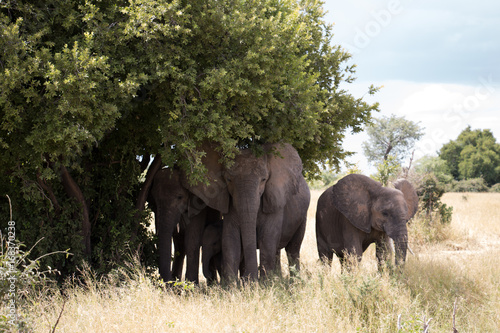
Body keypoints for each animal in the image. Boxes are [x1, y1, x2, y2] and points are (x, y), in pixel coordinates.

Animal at [188, 141, 310, 278]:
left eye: (264, 179)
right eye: (228, 179)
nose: (250, 278)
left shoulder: (275, 201)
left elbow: (267, 240)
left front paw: (264, 283)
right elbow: (230, 240)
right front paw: (233, 284)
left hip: (302, 216)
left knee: (292, 249)